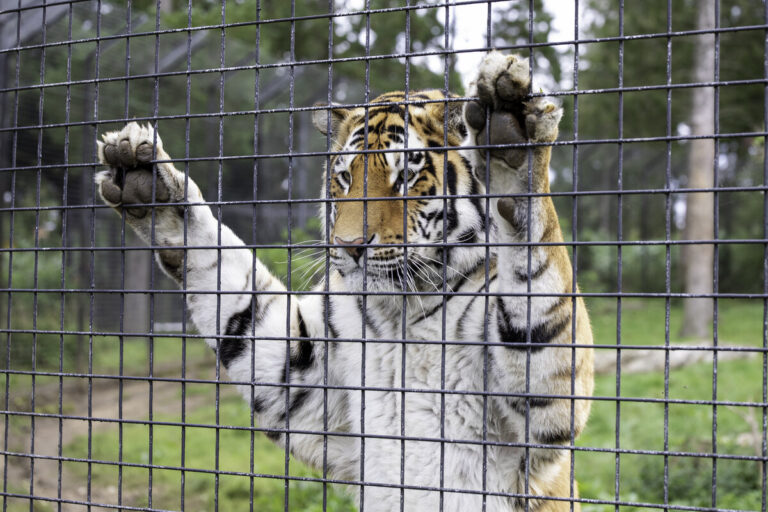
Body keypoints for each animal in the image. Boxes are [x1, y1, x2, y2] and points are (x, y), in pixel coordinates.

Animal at [94, 50, 592, 510]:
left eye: (406, 177)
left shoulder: (538, 415)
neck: (400, 313)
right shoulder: (303, 378)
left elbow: (538, 278)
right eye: (345, 177)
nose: (350, 245)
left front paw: (512, 135)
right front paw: (146, 180)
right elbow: (232, 288)